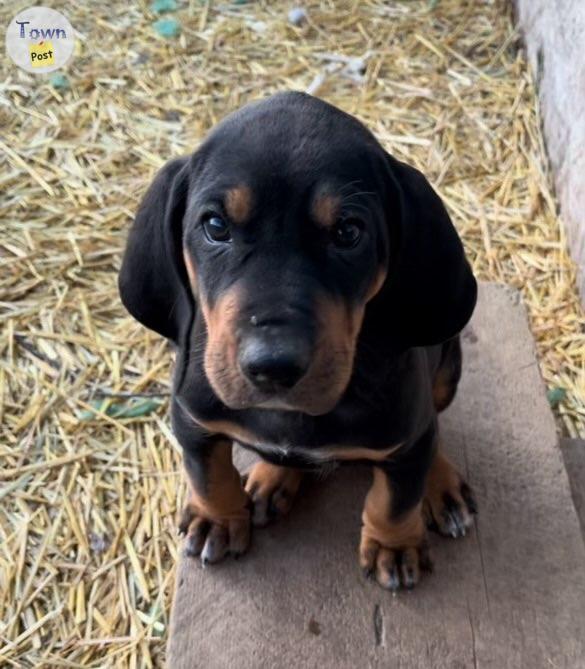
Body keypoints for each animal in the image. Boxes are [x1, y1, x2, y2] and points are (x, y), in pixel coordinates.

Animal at [117, 90, 474, 588]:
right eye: (215, 226)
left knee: (435, 431)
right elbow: (207, 472)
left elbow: (395, 497)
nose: (273, 366)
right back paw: (272, 477)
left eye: (348, 232)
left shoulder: (406, 435)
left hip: (447, 369)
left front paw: (394, 544)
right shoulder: (191, 415)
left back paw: (440, 486)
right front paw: (217, 518)